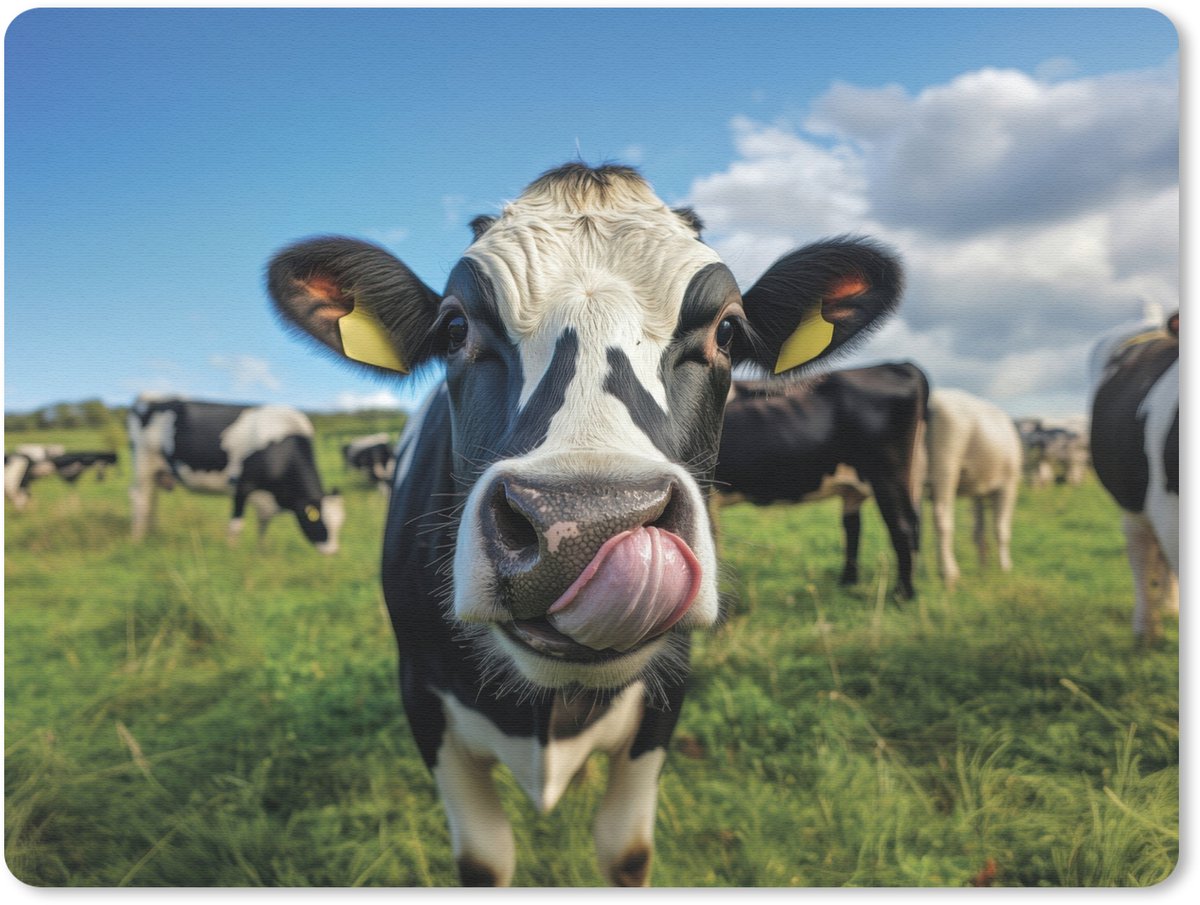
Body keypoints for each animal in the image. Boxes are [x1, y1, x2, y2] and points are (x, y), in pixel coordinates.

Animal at [127, 394, 345, 554]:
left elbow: (263, 525)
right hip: (143, 463)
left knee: (151, 500)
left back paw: (151, 533)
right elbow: (236, 525)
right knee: (139, 498)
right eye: (319, 521)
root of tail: (150, 399)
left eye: (340, 523)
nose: (332, 552)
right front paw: (232, 552)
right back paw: (137, 538)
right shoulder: (242, 485)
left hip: (158, 471)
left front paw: (260, 551)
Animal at [265, 163, 902, 886]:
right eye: (454, 328)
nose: (585, 524)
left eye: (728, 332)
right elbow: (484, 858)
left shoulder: (666, 696)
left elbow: (625, 850)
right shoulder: (422, 699)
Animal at [713, 361, 929, 600]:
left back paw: (902, 594)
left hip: (888, 474)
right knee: (856, 527)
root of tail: (899, 365)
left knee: (902, 526)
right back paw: (848, 582)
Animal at [925, 388, 1023, 590]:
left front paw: (983, 567)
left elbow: (978, 532)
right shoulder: (1009, 486)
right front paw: (1005, 568)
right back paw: (948, 574)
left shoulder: (977, 493)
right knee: (942, 517)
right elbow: (1001, 529)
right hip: (945, 464)